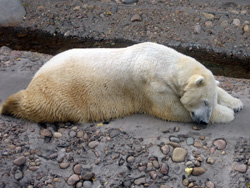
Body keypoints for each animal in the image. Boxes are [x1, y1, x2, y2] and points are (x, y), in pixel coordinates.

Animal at [0, 42, 242, 125]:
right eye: (204, 102)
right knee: (39, 105)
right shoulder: (151, 85)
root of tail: (37, 76)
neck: (162, 60)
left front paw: (236, 103)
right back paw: (8, 105)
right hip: (59, 94)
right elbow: (171, 109)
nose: (203, 122)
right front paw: (227, 114)